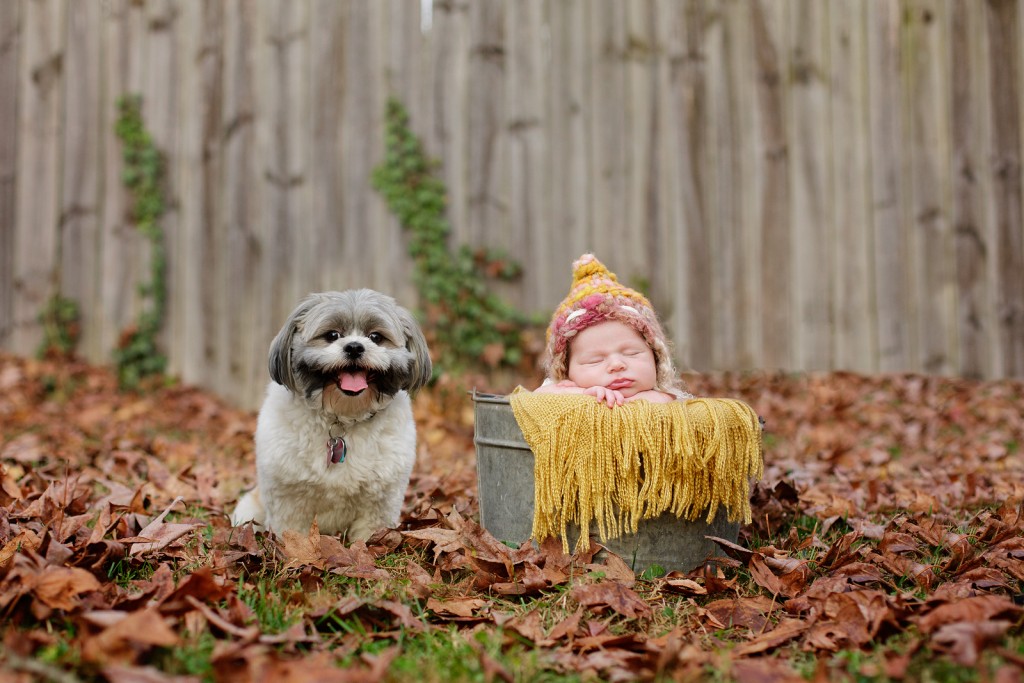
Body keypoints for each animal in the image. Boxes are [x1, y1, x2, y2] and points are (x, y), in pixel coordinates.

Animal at [232, 290, 432, 540]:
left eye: (375, 337)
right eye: (333, 335)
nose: (354, 347)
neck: (343, 416)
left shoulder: (380, 502)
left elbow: (368, 536)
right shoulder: (288, 498)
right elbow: (292, 531)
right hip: (247, 511)